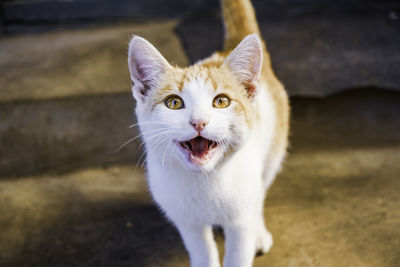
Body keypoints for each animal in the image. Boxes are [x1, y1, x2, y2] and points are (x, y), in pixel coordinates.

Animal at [128, 0, 290, 266]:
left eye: (221, 101)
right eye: (174, 103)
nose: (199, 122)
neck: (204, 181)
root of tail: (226, 51)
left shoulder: (240, 220)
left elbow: (239, 251)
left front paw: (251, 237)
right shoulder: (186, 220)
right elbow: (202, 251)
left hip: (272, 151)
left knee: (260, 192)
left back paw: (259, 232)